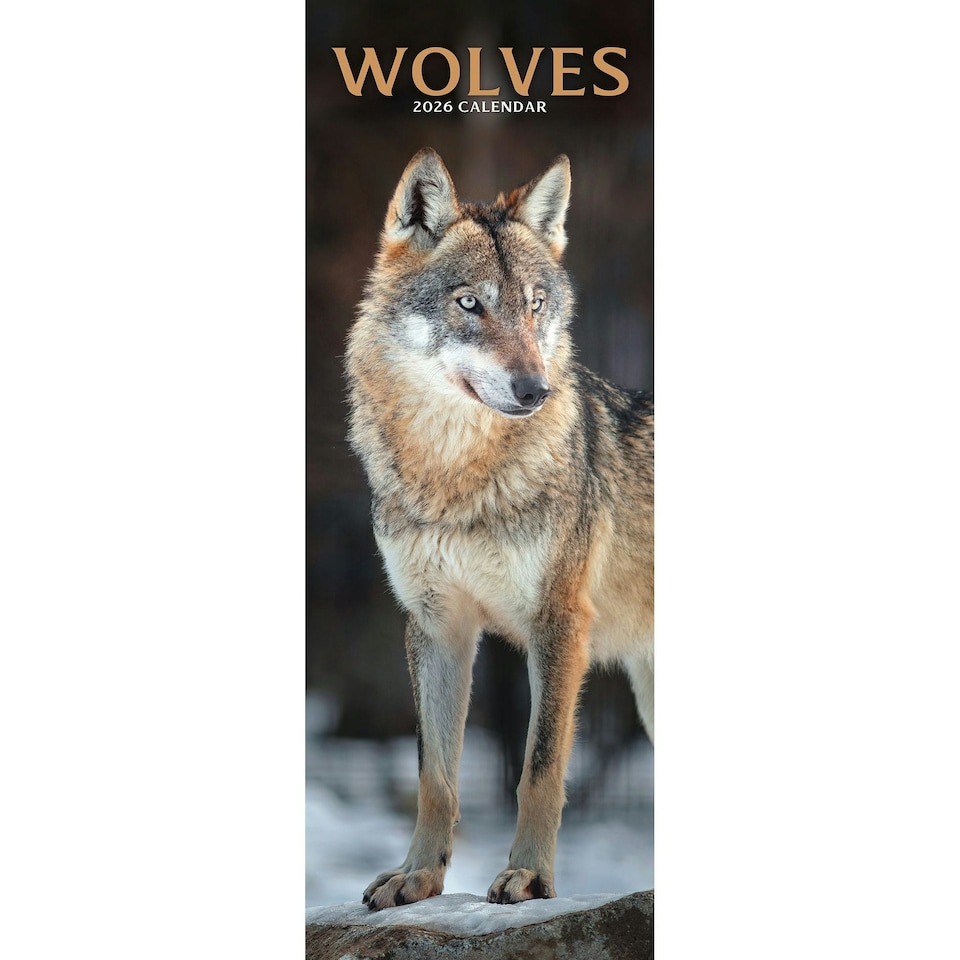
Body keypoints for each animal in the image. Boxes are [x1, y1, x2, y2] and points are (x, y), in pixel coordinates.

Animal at [345, 148, 653, 909]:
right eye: (470, 304)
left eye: (534, 305)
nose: (534, 390)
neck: (456, 478)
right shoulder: (437, 625)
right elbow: (434, 776)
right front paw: (418, 877)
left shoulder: (558, 623)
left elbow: (538, 771)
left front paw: (531, 877)